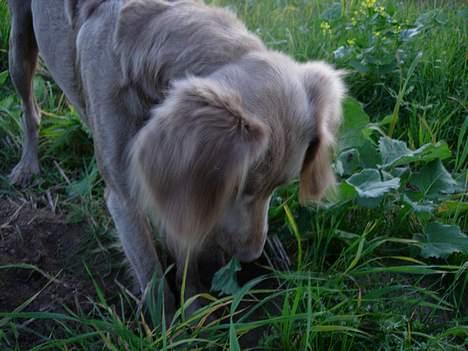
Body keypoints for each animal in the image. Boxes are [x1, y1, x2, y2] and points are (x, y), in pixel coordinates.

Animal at [6, 0, 344, 320]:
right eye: (236, 189)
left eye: (278, 188)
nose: (250, 256)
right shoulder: (125, 199)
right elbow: (152, 277)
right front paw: (168, 328)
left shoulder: (184, 185)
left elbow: (186, 261)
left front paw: (194, 313)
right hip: (18, 46)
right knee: (29, 109)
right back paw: (27, 166)